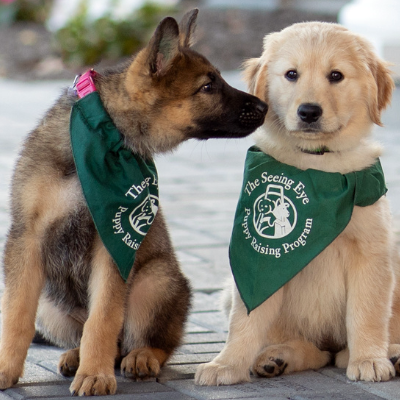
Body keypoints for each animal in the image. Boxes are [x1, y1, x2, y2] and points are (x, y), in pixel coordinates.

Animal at [0, 7, 268, 396]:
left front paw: (95, 374)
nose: (266, 106)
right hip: (51, 305)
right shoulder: (27, 238)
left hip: (152, 282)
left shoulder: (113, 245)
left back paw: (139, 356)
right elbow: (16, 314)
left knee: (149, 341)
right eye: (207, 87)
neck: (105, 134)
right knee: (93, 337)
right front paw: (6, 367)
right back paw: (77, 356)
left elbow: (103, 318)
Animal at [195, 21, 398, 384]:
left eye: (336, 75)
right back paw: (277, 357)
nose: (309, 111)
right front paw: (226, 364)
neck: (318, 167)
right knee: (314, 351)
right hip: (230, 292)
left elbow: (368, 312)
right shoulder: (256, 260)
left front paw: (369, 359)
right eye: (291, 74)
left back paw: (387, 353)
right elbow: (246, 320)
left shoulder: (373, 251)